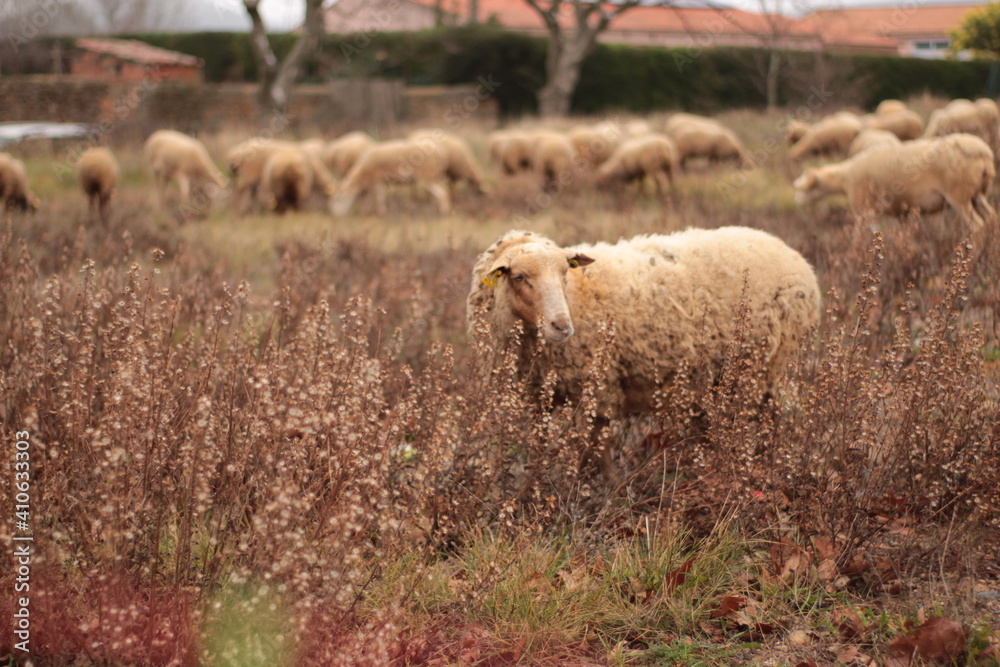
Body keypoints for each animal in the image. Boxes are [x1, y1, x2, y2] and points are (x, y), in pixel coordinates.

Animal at [467, 227, 820, 486]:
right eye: (519, 276)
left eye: (564, 274)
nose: (562, 327)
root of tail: (799, 261)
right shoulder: (538, 393)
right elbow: (538, 446)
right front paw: (530, 492)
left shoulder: (601, 384)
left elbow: (599, 445)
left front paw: (608, 492)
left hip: (764, 367)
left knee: (765, 421)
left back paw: (755, 470)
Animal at [793, 133, 996, 229]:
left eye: (804, 188)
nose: (797, 202)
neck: (846, 176)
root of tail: (983, 152)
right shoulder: (903, 212)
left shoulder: (864, 210)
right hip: (978, 195)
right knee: (992, 217)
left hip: (959, 196)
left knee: (977, 226)